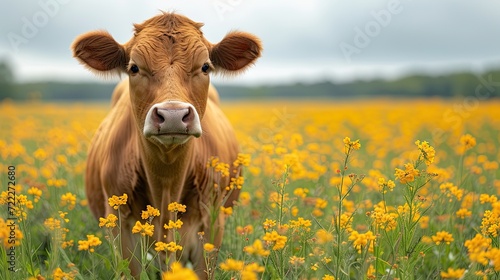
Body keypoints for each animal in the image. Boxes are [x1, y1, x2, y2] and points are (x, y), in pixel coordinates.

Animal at [72, 11, 264, 278]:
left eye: (205, 67)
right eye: (134, 67)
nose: (173, 114)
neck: (166, 183)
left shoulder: (212, 223)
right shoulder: (119, 224)